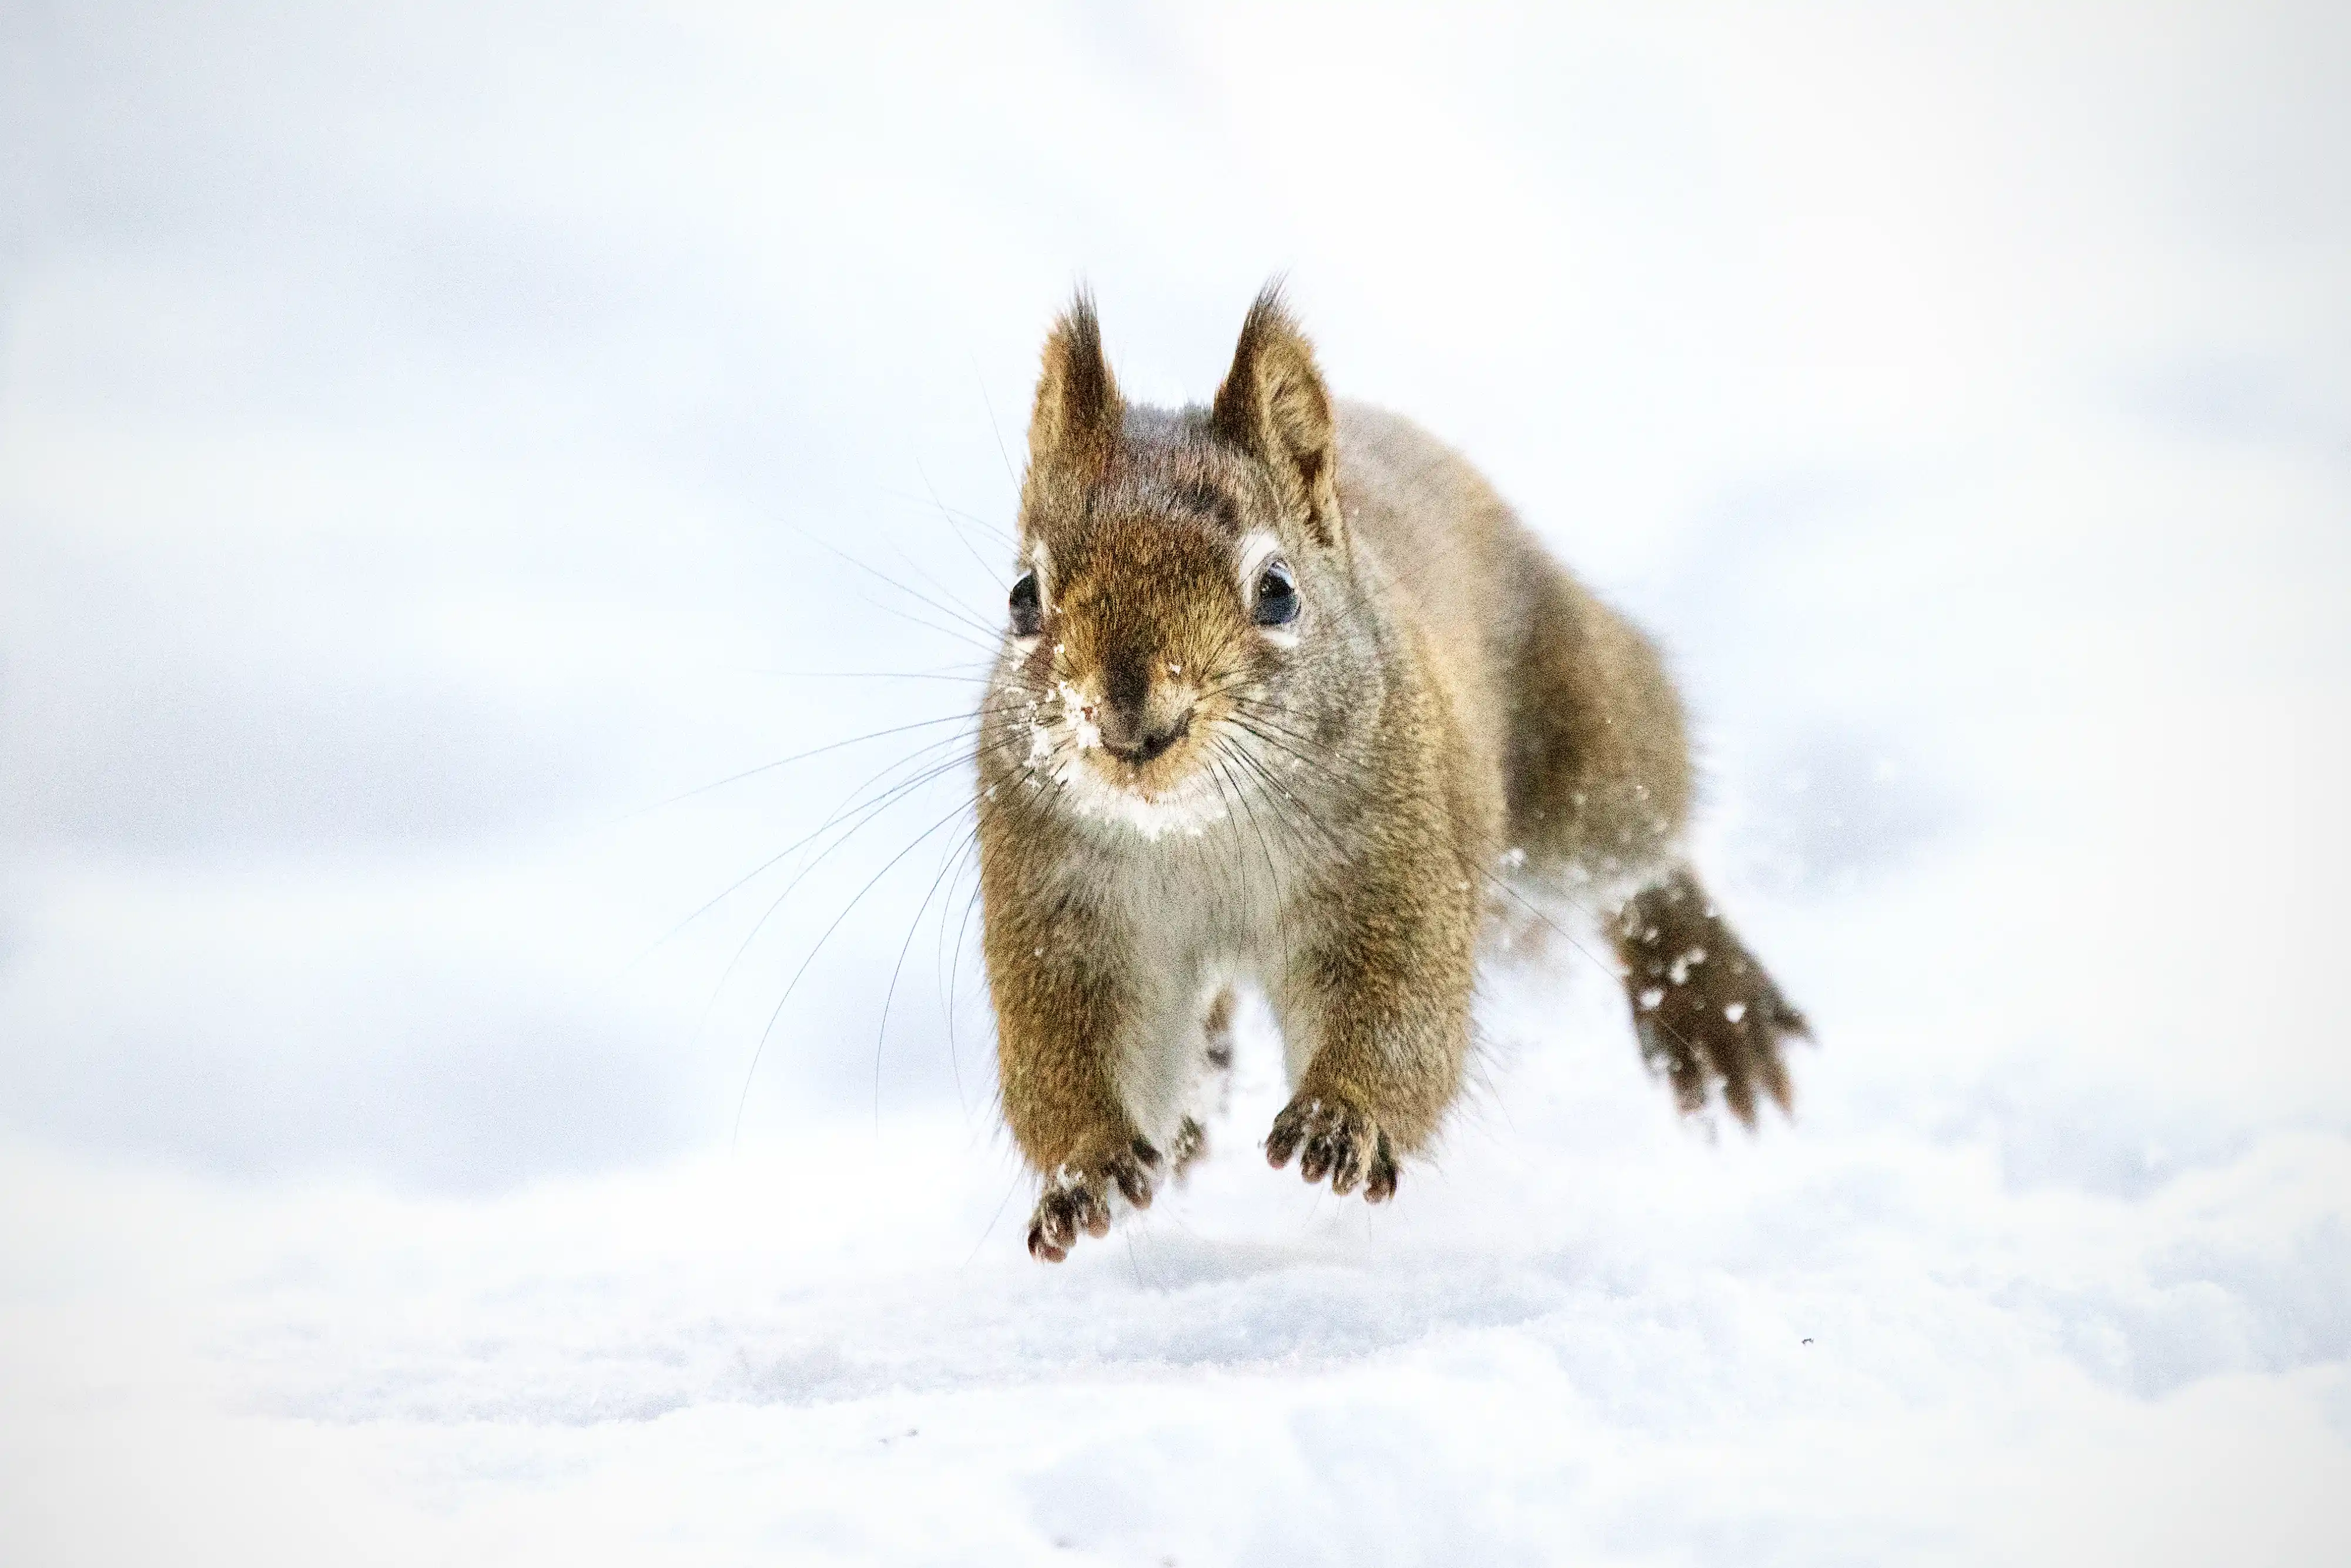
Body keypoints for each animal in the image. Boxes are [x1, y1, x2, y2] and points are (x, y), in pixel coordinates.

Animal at [975, 286, 1809, 1262]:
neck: (1194, 826)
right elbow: (1067, 1051)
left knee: (1639, 858)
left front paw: (1342, 1122)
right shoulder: (1065, 911)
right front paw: (1089, 1169)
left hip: (1580, 750)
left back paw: (1710, 1004)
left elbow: (1401, 1014)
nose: (1128, 722)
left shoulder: (1390, 863)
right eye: (1022, 598)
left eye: (1277, 592)